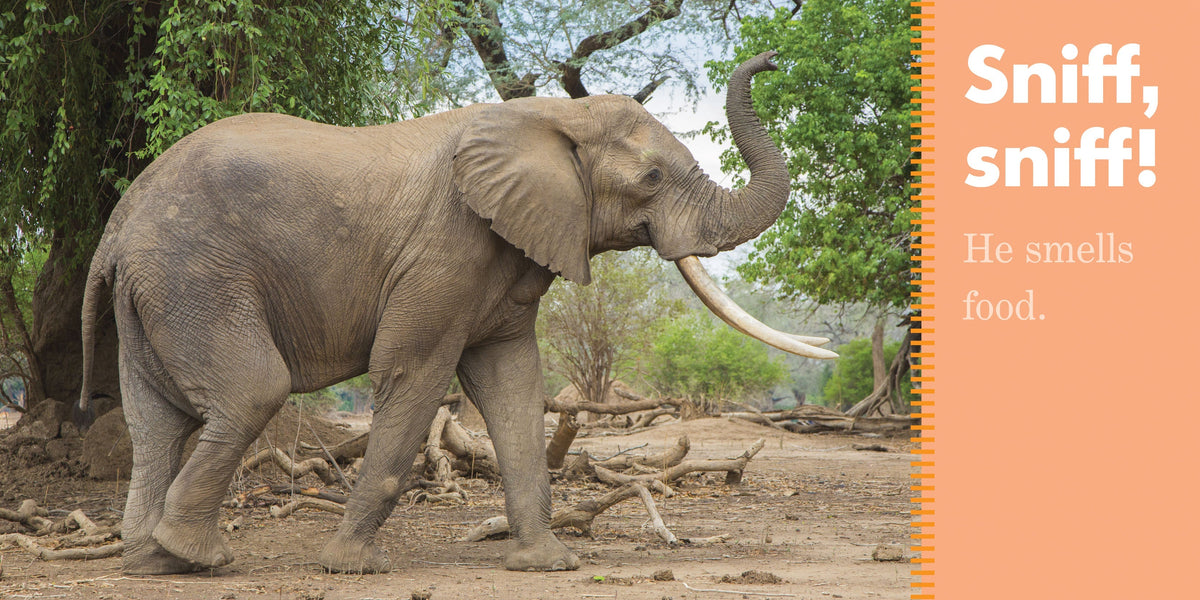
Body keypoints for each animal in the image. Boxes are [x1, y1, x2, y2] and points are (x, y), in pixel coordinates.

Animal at [78, 51, 833, 576]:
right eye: (650, 179)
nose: (771, 60)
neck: (550, 117)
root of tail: (116, 229)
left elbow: (513, 385)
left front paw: (549, 565)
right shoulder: (444, 250)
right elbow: (412, 374)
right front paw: (353, 568)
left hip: (157, 290)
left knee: (157, 419)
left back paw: (152, 562)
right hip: (195, 276)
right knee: (251, 391)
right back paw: (196, 557)